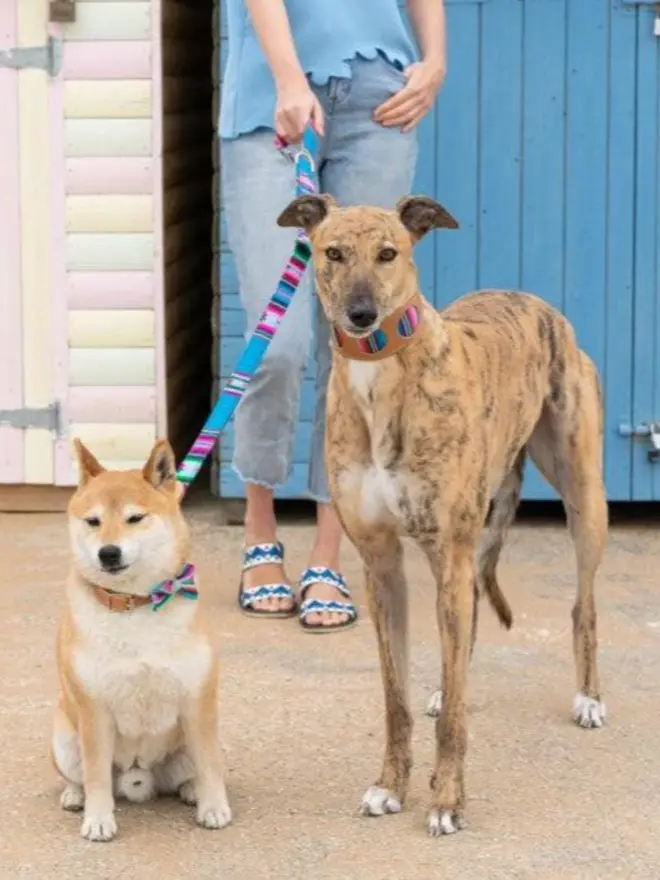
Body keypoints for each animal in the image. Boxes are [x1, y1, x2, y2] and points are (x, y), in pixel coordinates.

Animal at [49, 438, 229, 840]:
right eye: (93, 521)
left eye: (134, 518)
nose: (108, 552)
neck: (135, 604)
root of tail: (138, 776)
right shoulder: (95, 711)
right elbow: (97, 775)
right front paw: (99, 819)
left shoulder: (197, 700)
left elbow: (211, 766)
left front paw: (214, 807)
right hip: (65, 739)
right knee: (80, 777)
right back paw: (75, 795)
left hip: (187, 741)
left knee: (192, 770)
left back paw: (191, 790)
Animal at [276, 194, 604, 840]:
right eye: (333, 252)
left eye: (388, 253)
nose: (360, 315)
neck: (382, 375)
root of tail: (540, 306)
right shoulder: (382, 564)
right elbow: (394, 697)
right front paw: (390, 785)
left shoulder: (445, 551)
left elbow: (454, 717)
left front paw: (448, 799)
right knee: (468, 627)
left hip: (583, 497)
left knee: (582, 605)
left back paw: (588, 697)